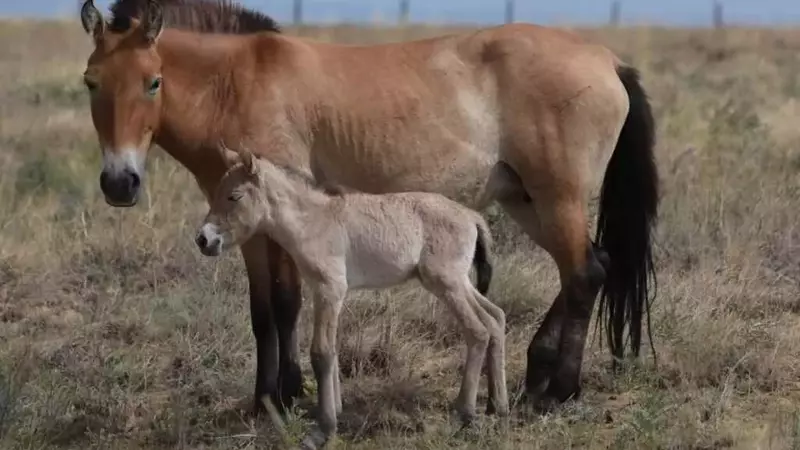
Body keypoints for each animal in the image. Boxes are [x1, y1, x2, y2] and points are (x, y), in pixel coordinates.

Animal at [78, 0, 659, 415]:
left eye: (153, 82)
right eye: (90, 83)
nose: (120, 183)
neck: (235, 84)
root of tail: (607, 60)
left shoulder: (284, 221)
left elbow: (286, 302)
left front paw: (287, 395)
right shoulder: (247, 231)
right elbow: (262, 312)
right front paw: (263, 399)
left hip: (557, 198)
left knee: (584, 273)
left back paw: (557, 390)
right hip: (526, 201)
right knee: (592, 265)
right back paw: (537, 373)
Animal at [196, 143, 508, 447]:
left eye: (234, 196)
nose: (204, 240)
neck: (312, 222)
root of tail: (471, 216)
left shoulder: (330, 289)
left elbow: (321, 353)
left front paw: (323, 430)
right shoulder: (323, 291)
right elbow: (332, 350)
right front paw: (335, 412)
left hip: (446, 283)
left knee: (478, 331)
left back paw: (465, 413)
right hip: (458, 282)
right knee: (495, 318)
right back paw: (497, 405)